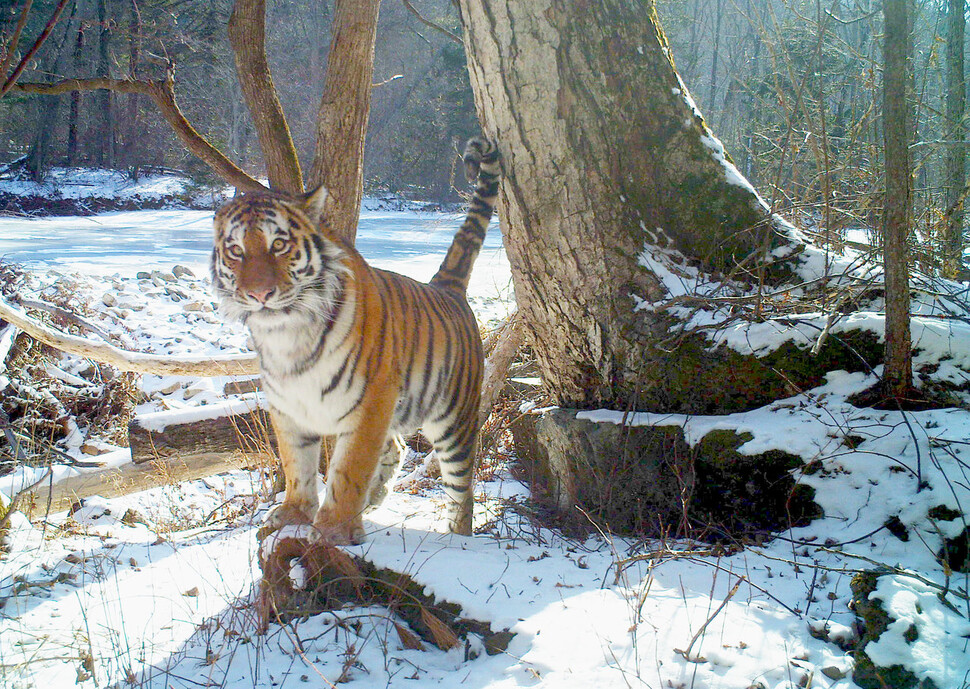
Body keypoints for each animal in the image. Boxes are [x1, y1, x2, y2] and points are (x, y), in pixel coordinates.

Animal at [212, 136, 500, 544]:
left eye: (279, 244)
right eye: (236, 250)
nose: (259, 294)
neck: (287, 335)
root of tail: (446, 287)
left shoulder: (370, 402)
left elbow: (348, 469)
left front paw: (334, 530)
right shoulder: (288, 408)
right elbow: (297, 465)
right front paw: (293, 515)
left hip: (453, 421)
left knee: (462, 489)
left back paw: (457, 536)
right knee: (396, 446)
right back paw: (375, 498)